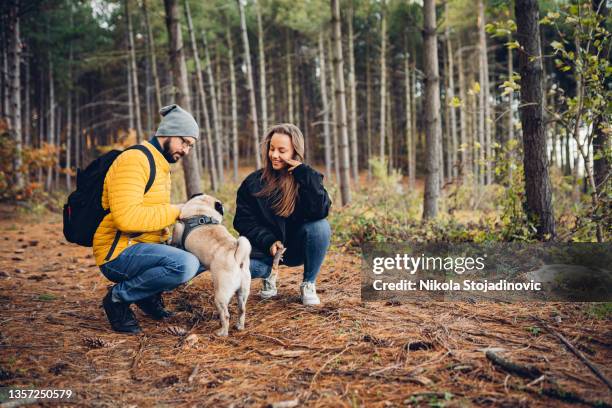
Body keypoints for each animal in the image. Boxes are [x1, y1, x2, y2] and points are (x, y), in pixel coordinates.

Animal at [171, 194, 252, 334]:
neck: (201, 210)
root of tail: (237, 258)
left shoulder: (179, 228)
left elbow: (175, 239)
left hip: (220, 295)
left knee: (225, 315)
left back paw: (222, 332)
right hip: (243, 291)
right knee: (242, 309)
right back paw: (239, 326)